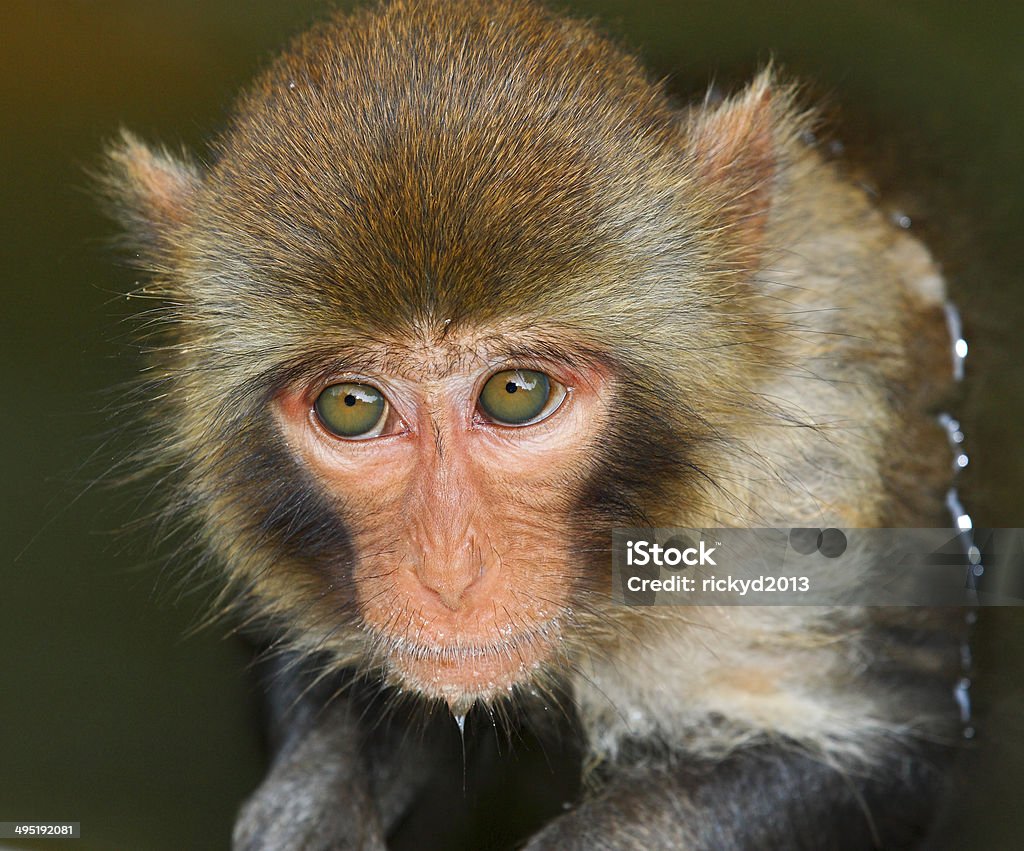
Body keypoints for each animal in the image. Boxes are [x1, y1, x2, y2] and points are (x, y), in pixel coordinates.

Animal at [99, 1, 962, 851]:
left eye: (516, 392)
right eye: (352, 406)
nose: (448, 573)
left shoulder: (805, 472)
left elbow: (883, 756)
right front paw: (314, 807)